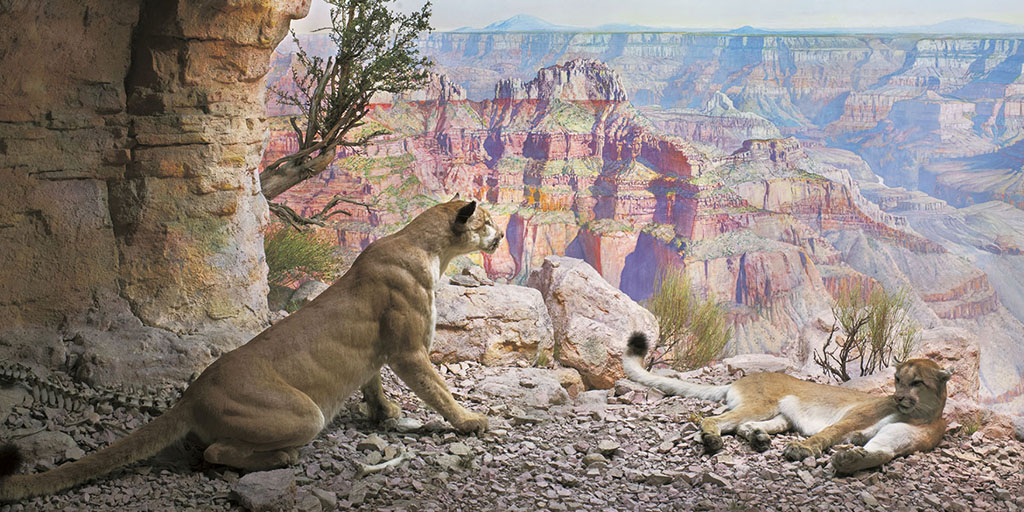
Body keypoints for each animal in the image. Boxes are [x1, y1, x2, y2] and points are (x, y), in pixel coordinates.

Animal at [0, 199, 503, 500]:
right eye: (487, 222)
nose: (498, 235)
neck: (429, 248)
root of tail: (191, 395)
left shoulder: (381, 352)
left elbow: (372, 382)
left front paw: (385, 414)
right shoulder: (409, 350)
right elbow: (437, 389)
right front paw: (469, 421)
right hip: (304, 413)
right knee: (213, 452)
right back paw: (281, 459)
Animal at [622, 333, 950, 474]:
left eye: (916, 382)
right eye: (897, 379)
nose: (898, 397)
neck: (919, 415)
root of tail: (743, 378)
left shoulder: (894, 440)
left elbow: (879, 453)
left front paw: (849, 460)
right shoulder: (853, 418)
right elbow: (828, 434)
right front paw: (802, 450)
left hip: (780, 416)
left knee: (744, 426)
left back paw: (759, 438)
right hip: (761, 405)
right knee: (714, 419)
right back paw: (714, 441)